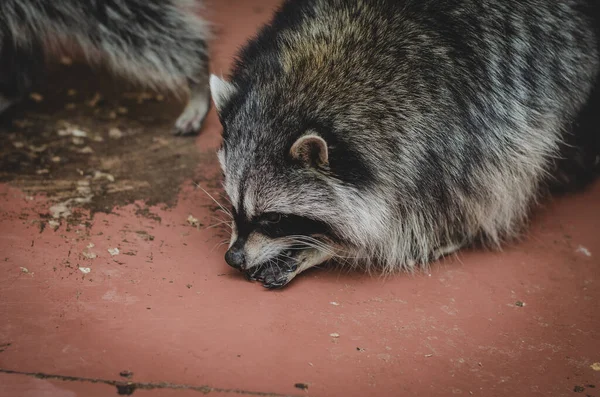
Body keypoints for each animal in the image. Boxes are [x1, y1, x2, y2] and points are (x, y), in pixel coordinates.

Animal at [209, 0, 596, 286]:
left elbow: (411, 220)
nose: (233, 257)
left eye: (274, 218)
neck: (307, 84)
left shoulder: (455, 132)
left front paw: (327, 246)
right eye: (233, 203)